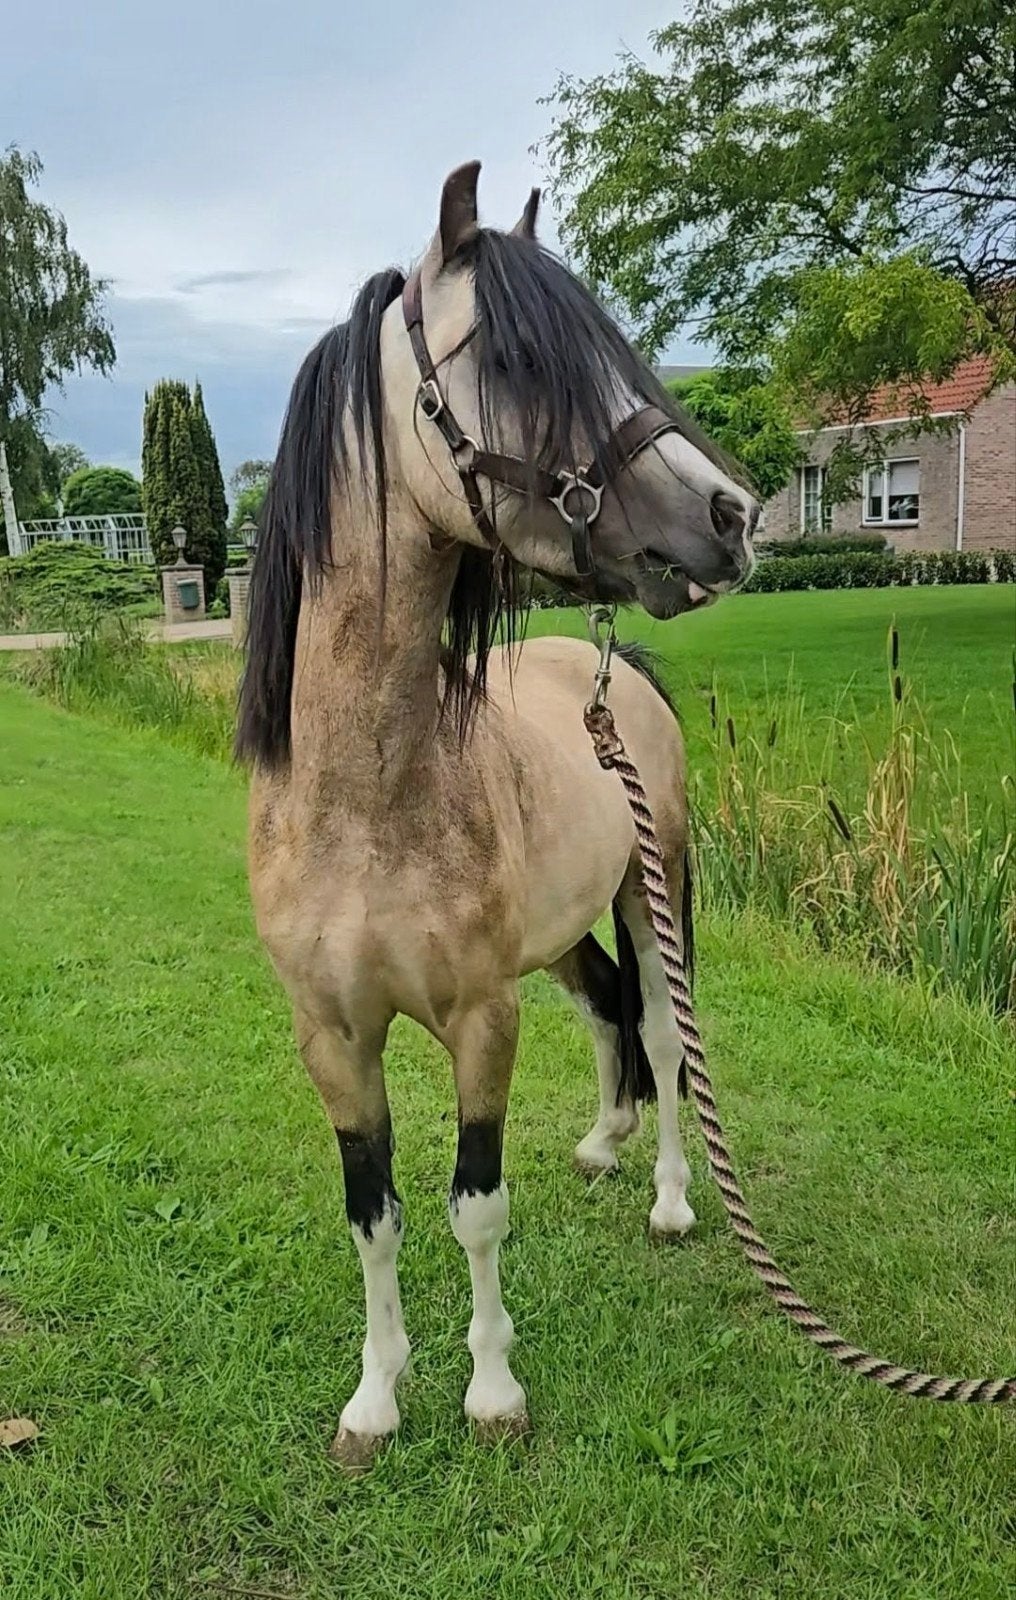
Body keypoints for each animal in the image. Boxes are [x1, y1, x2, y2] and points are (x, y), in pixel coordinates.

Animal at [236, 162, 759, 1470]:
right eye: (522, 361)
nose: (729, 514)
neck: (367, 801)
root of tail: (613, 673)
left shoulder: (482, 1020)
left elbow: (476, 1207)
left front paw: (489, 1391)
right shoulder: (333, 1036)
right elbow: (371, 1214)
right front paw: (375, 1396)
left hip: (653, 891)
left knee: (661, 1035)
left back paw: (668, 1196)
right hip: (564, 935)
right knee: (607, 1009)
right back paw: (603, 1142)